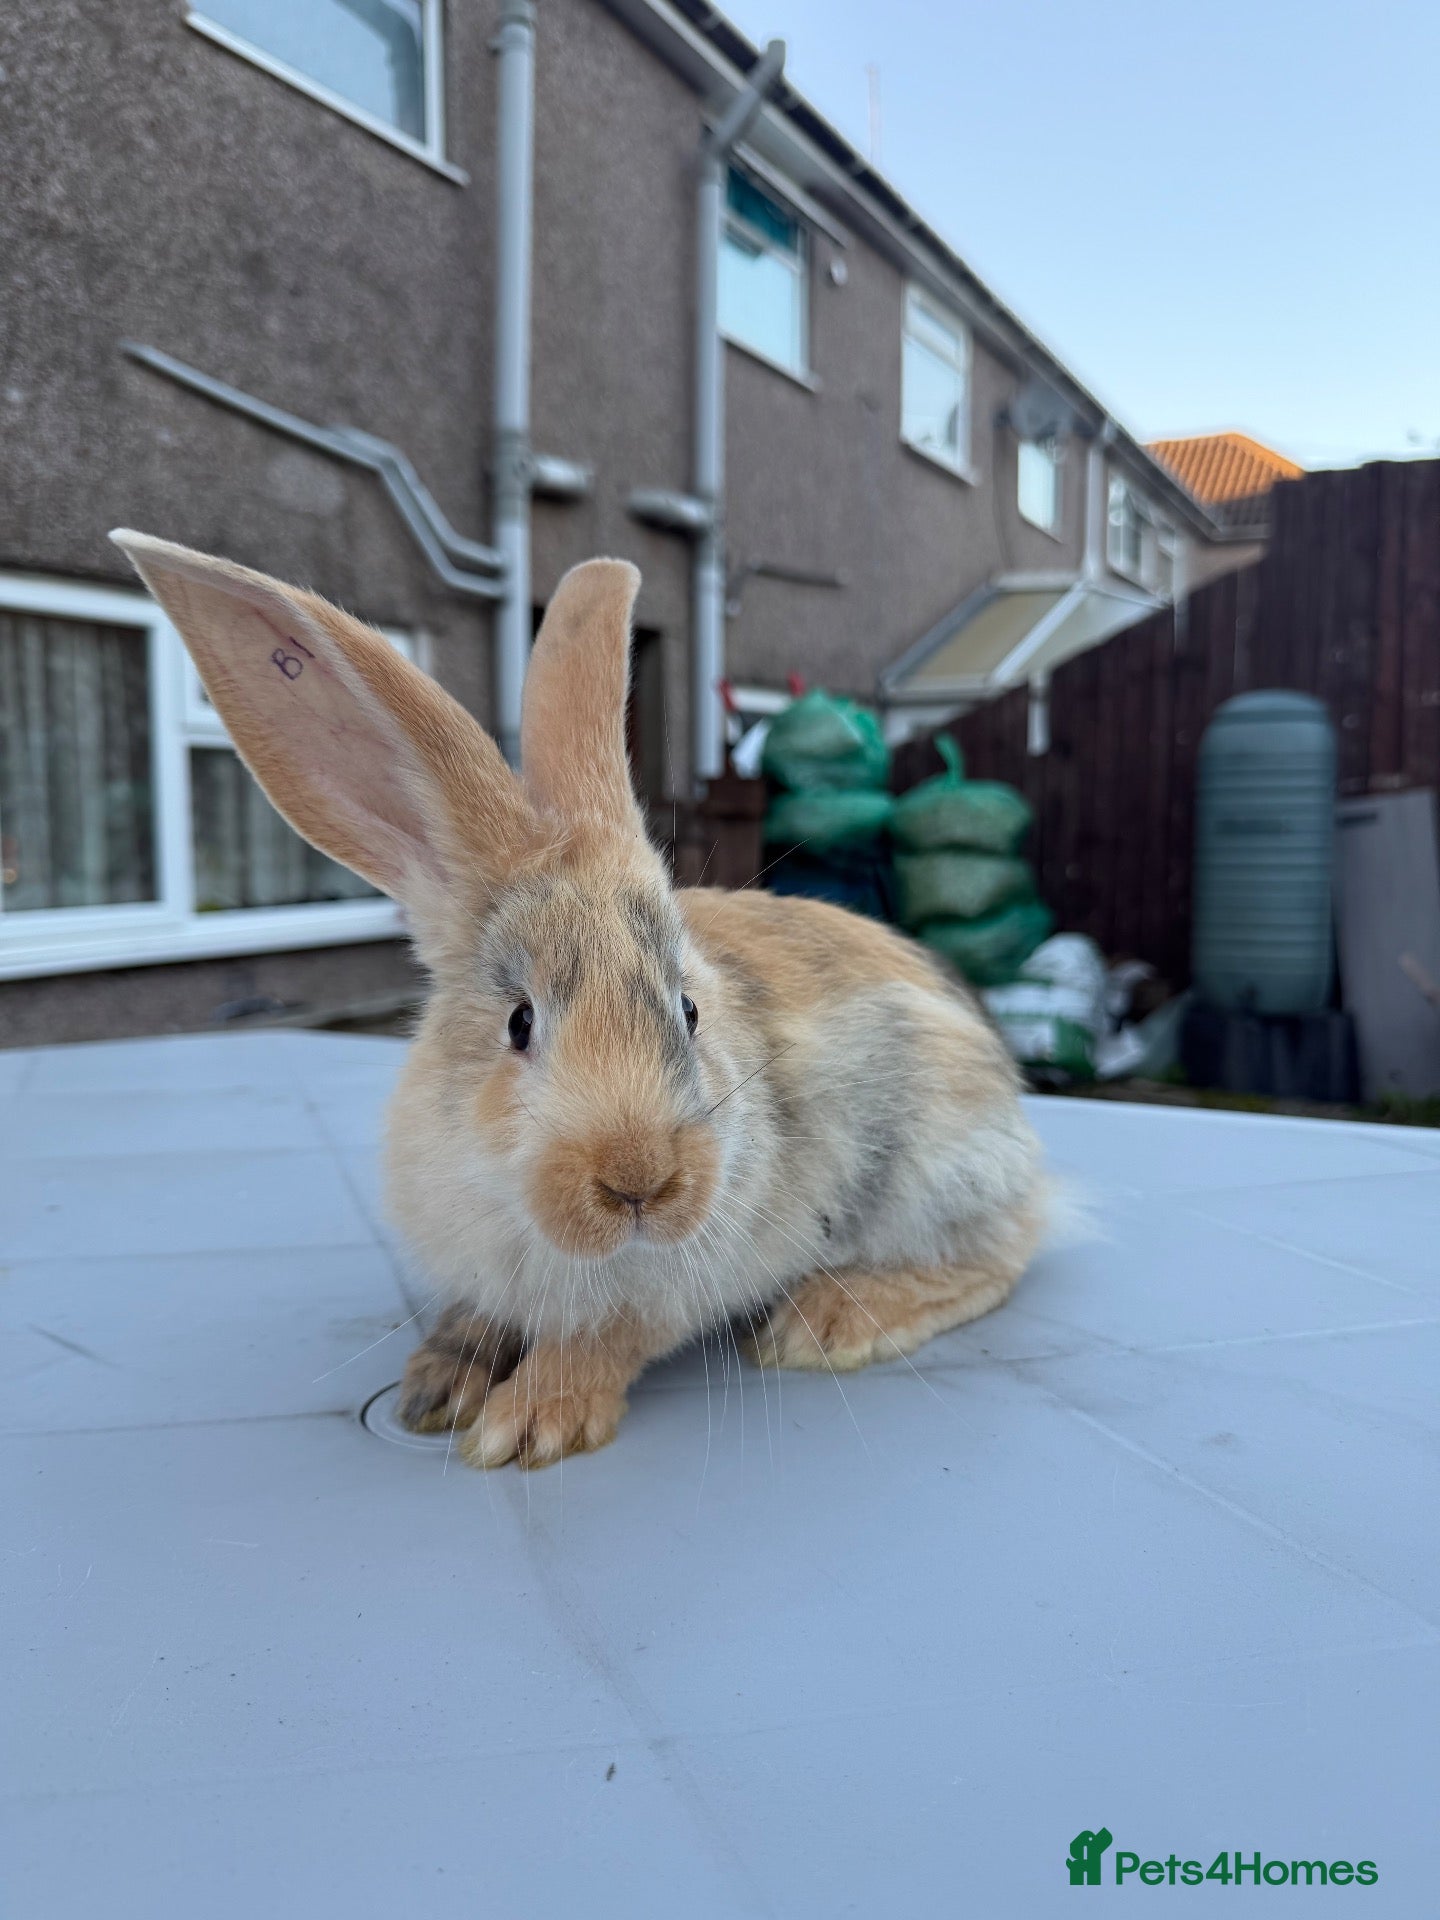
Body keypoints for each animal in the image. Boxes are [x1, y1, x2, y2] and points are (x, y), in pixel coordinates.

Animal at [112, 531, 1048, 1469]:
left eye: (689, 1011)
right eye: (518, 1023)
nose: (639, 1183)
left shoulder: (670, 1290)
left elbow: (605, 1339)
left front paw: (529, 1424)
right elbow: (480, 1321)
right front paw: (436, 1384)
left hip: (938, 1168)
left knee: (1008, 1249)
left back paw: (827, 1324)